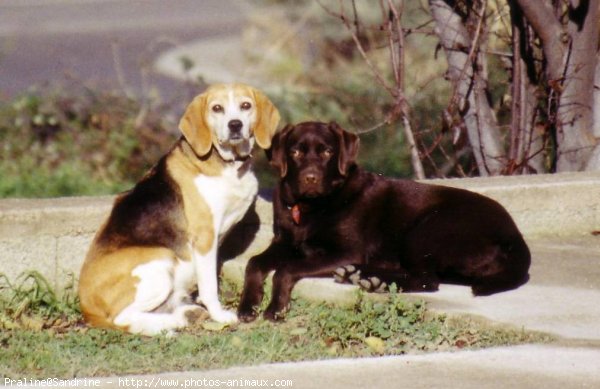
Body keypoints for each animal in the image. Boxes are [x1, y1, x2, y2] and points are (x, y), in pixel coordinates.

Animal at [78, 82, 282, 334]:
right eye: (217, 108)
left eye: (246, 105)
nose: (235, 124)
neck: (228, 165)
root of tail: (87, 309)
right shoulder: (205, 237)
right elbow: (209, 285)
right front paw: (219, 315)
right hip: (161, 258)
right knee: (123, 319)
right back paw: (172, 323)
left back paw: (186, 314)